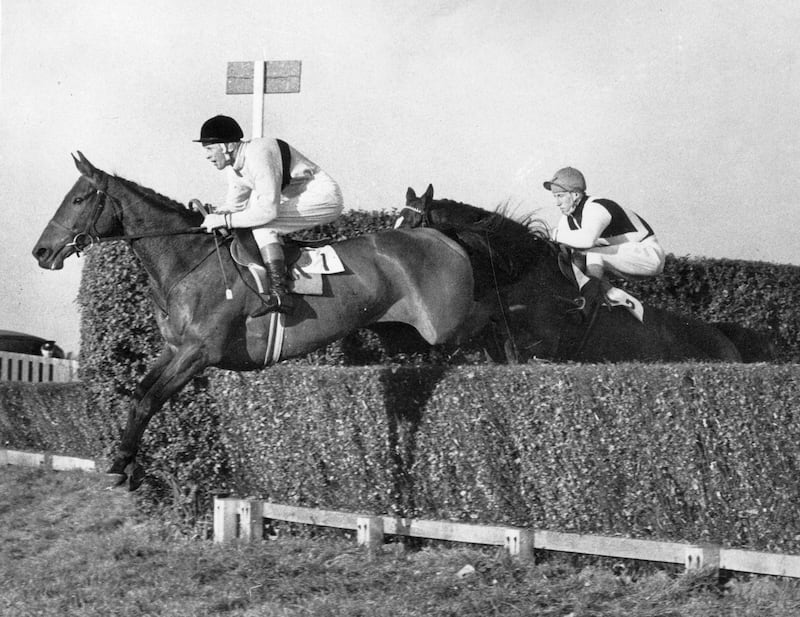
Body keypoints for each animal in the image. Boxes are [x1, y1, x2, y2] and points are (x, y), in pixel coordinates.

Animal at [32, 153, 482, 486]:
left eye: (77, 200)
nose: (41, 251)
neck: (188, 263)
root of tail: (440, 237)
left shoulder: (200, 352)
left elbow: (149, 400)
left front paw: (120, 465)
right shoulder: (175, 348)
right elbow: (140, 393)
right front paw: (129, 462)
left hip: (448, 326)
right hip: (408, 335)